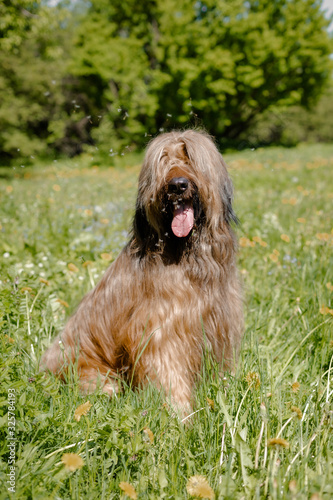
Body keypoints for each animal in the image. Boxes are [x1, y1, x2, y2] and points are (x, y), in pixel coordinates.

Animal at [42, 131, 244, 412]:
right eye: (163, 160)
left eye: (189, 156)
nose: (177, 186)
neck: (183, 252)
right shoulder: (161, 331)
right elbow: (169, 373)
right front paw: (180, 415)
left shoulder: (220, 323)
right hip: (94, 374)